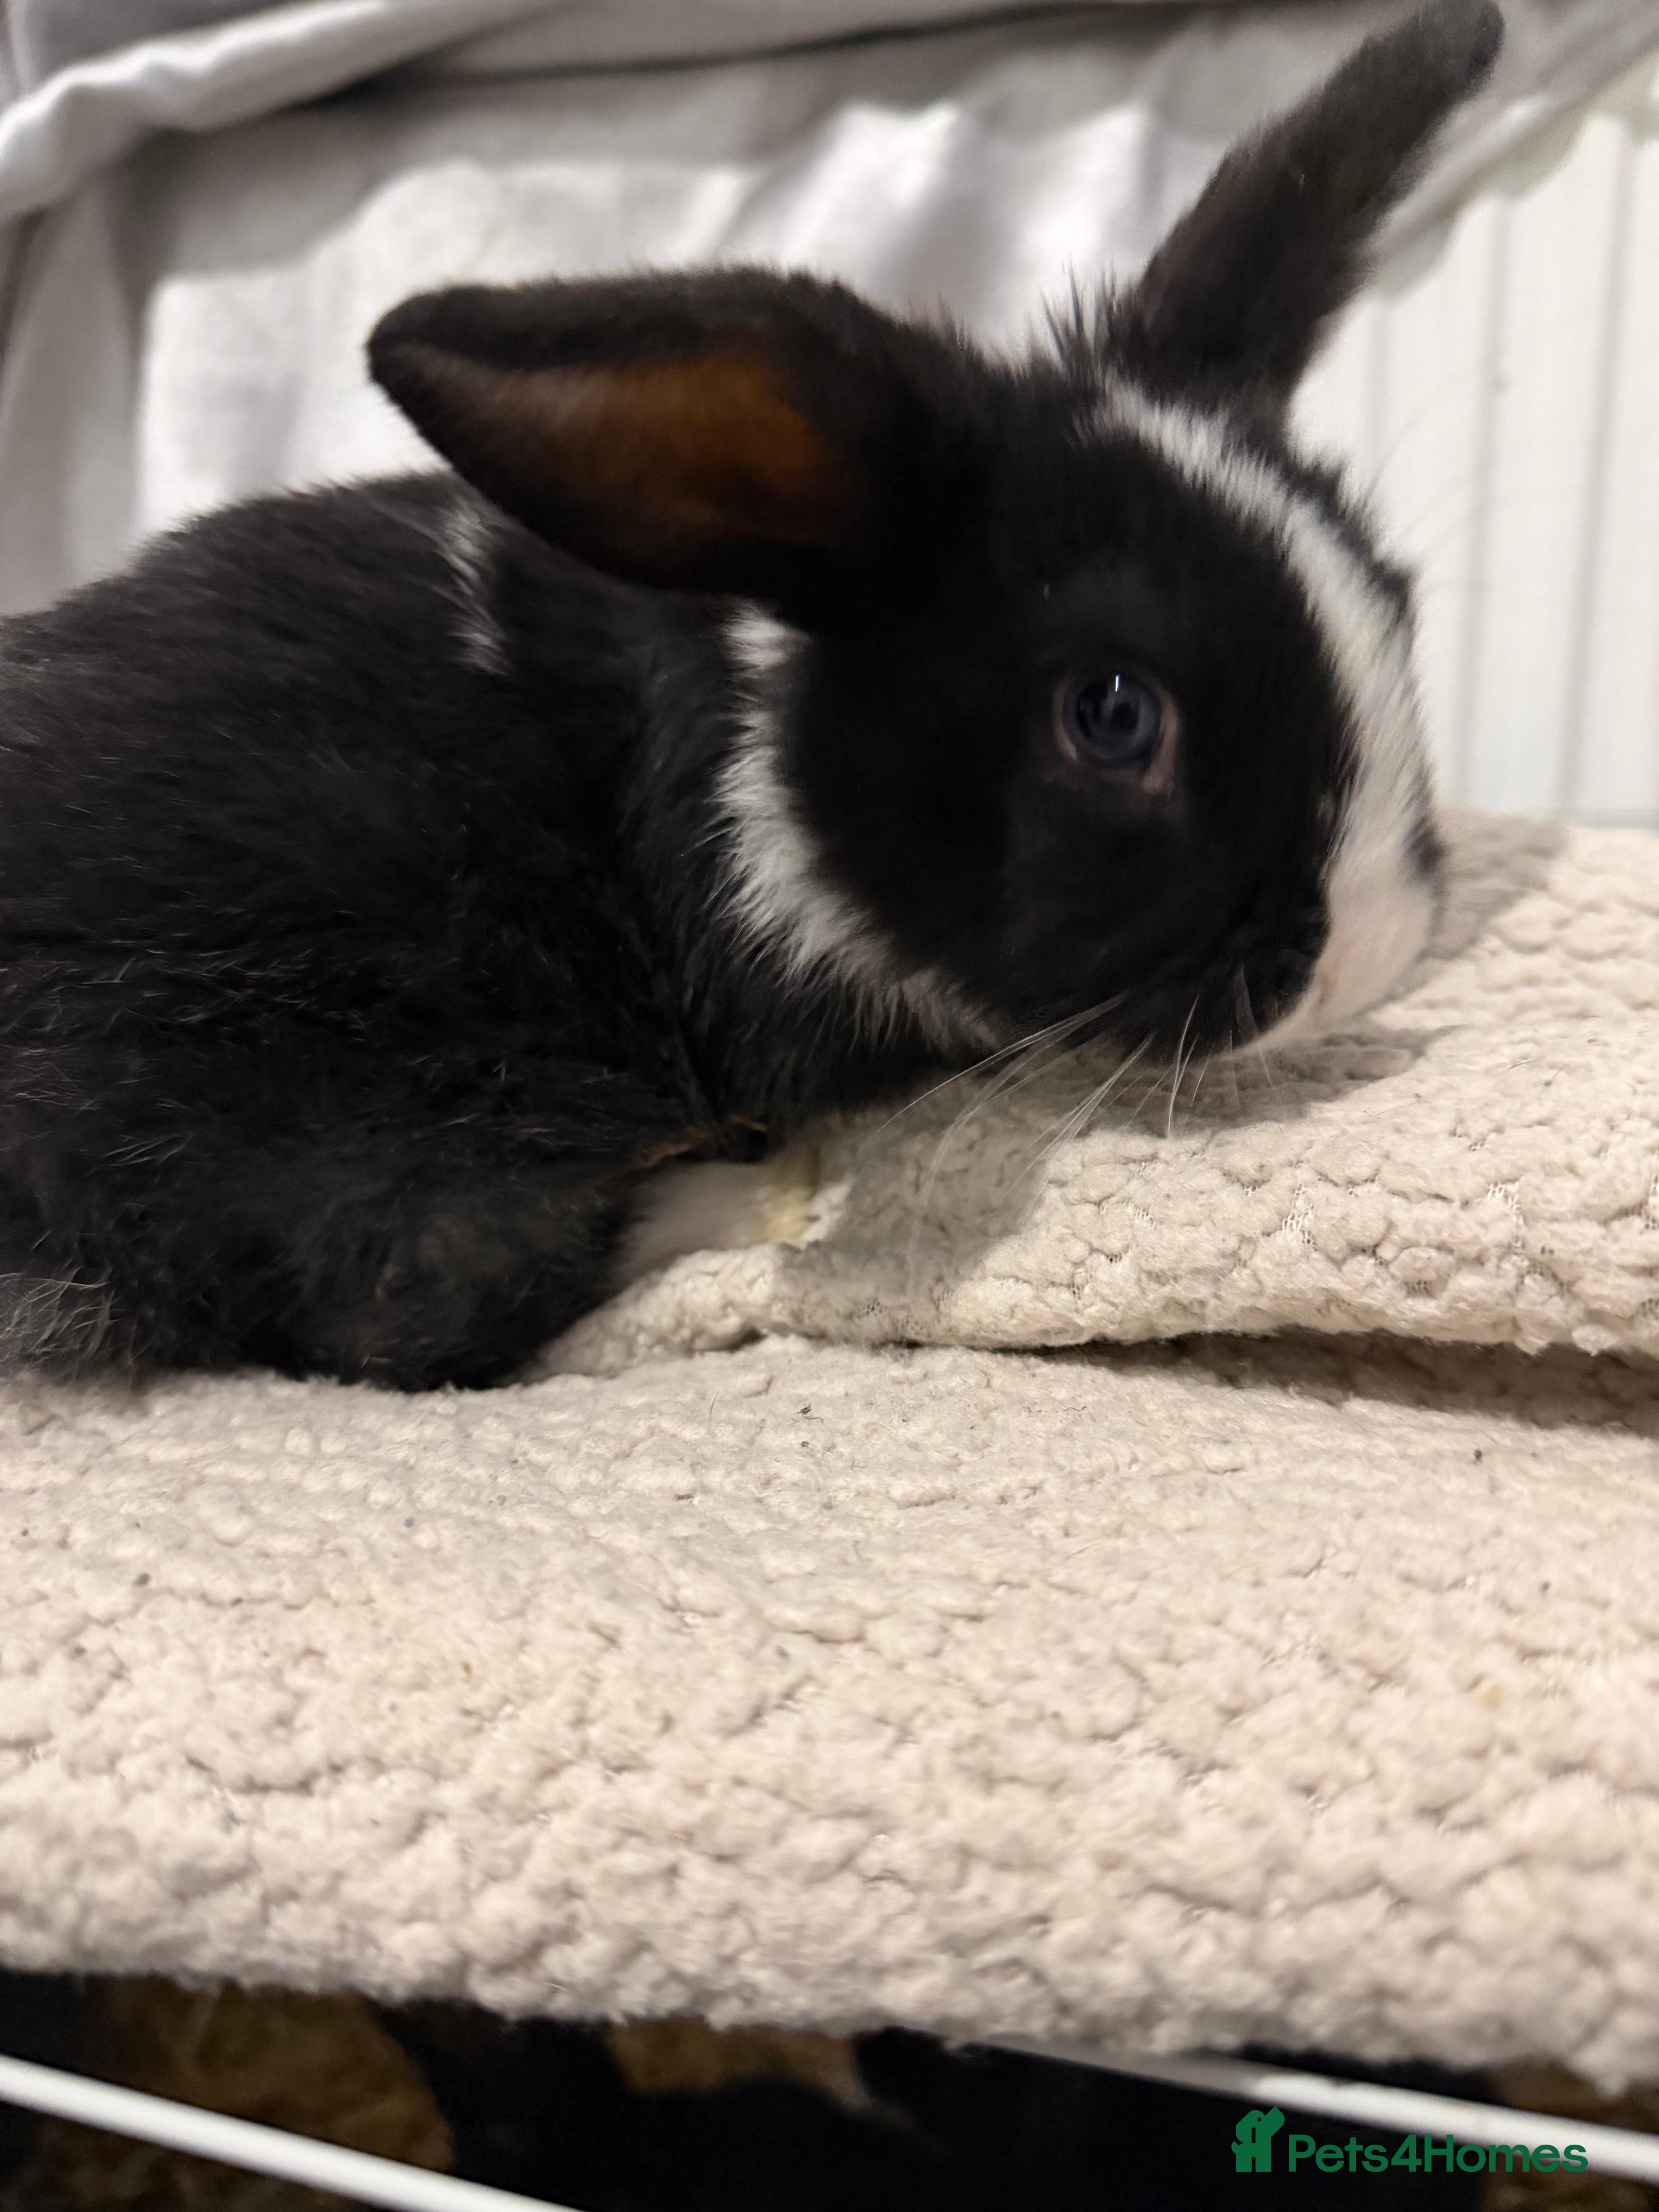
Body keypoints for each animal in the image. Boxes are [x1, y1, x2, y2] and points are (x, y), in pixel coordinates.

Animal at [0, 0, 1502, 1390]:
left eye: (1396, 594)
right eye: (1113, 712)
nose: (1370, 954)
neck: (760, 746)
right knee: (414, 1292)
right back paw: (758, 1196)